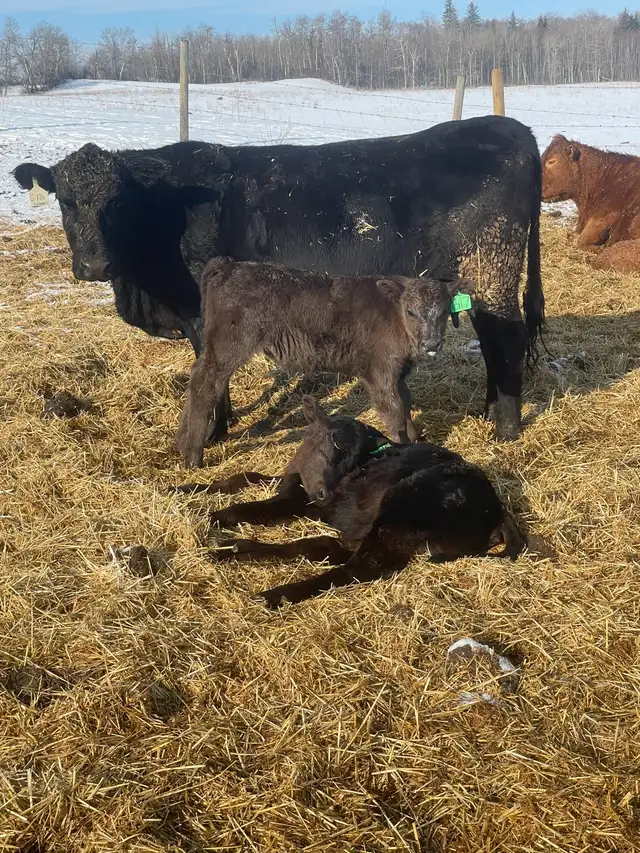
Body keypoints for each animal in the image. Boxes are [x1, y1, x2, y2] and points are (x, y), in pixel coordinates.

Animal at [13, 114, 544, 441]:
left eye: (117, 201)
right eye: (64, 200)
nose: (93, 265)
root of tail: (512, 128)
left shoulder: (201, 311)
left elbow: (211, 372)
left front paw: (214, 431)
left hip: (491, 266)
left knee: (505, 338)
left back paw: (505, 429)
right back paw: (487, 413)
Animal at [174, 396, 524, 608]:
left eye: (347, 453)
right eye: (326, 443)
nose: (326, 493)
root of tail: (497, 512)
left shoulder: (300, 502)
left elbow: (253, 507)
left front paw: (213, 517)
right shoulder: (295, 488)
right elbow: (244, 477)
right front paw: (182, 488)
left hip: (400, 510)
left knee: (357, 566)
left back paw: (275, 593)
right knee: (328, 549)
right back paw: (234, 550)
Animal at [175, 256, 474, 466]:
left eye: (445, 310)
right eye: (411, 311)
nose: (431, 344)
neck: (394, 317)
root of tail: (229, 265)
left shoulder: (398, 373)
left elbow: (406, 403)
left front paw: (416, 440)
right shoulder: (379, 372)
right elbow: (393, 412)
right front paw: (402, 446)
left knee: (200, 376)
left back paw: (182, 440)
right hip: (230, 344)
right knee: (204, 383)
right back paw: (193, 456)